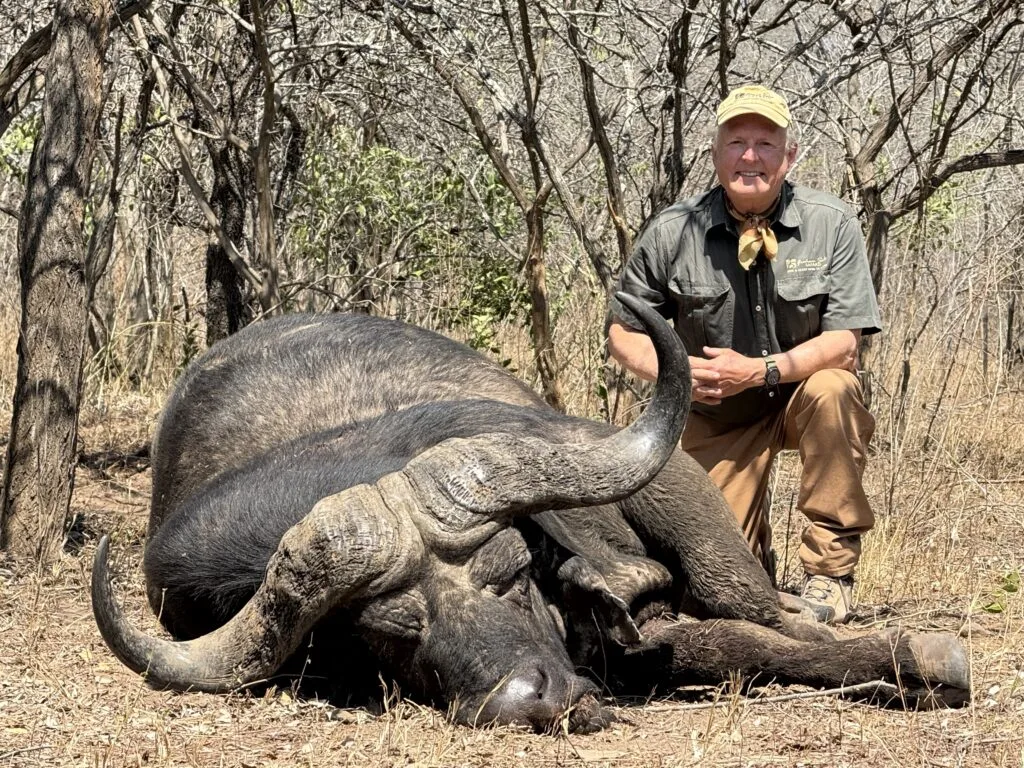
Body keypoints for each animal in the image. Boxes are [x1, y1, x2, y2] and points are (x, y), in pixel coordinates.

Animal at [92, 295, 970, 732]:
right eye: (394, 633)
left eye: (510, 576)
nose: (530, 697)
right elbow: (717, 649)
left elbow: (739, 639)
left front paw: (924, 658)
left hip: (701, 526)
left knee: (756, 605)